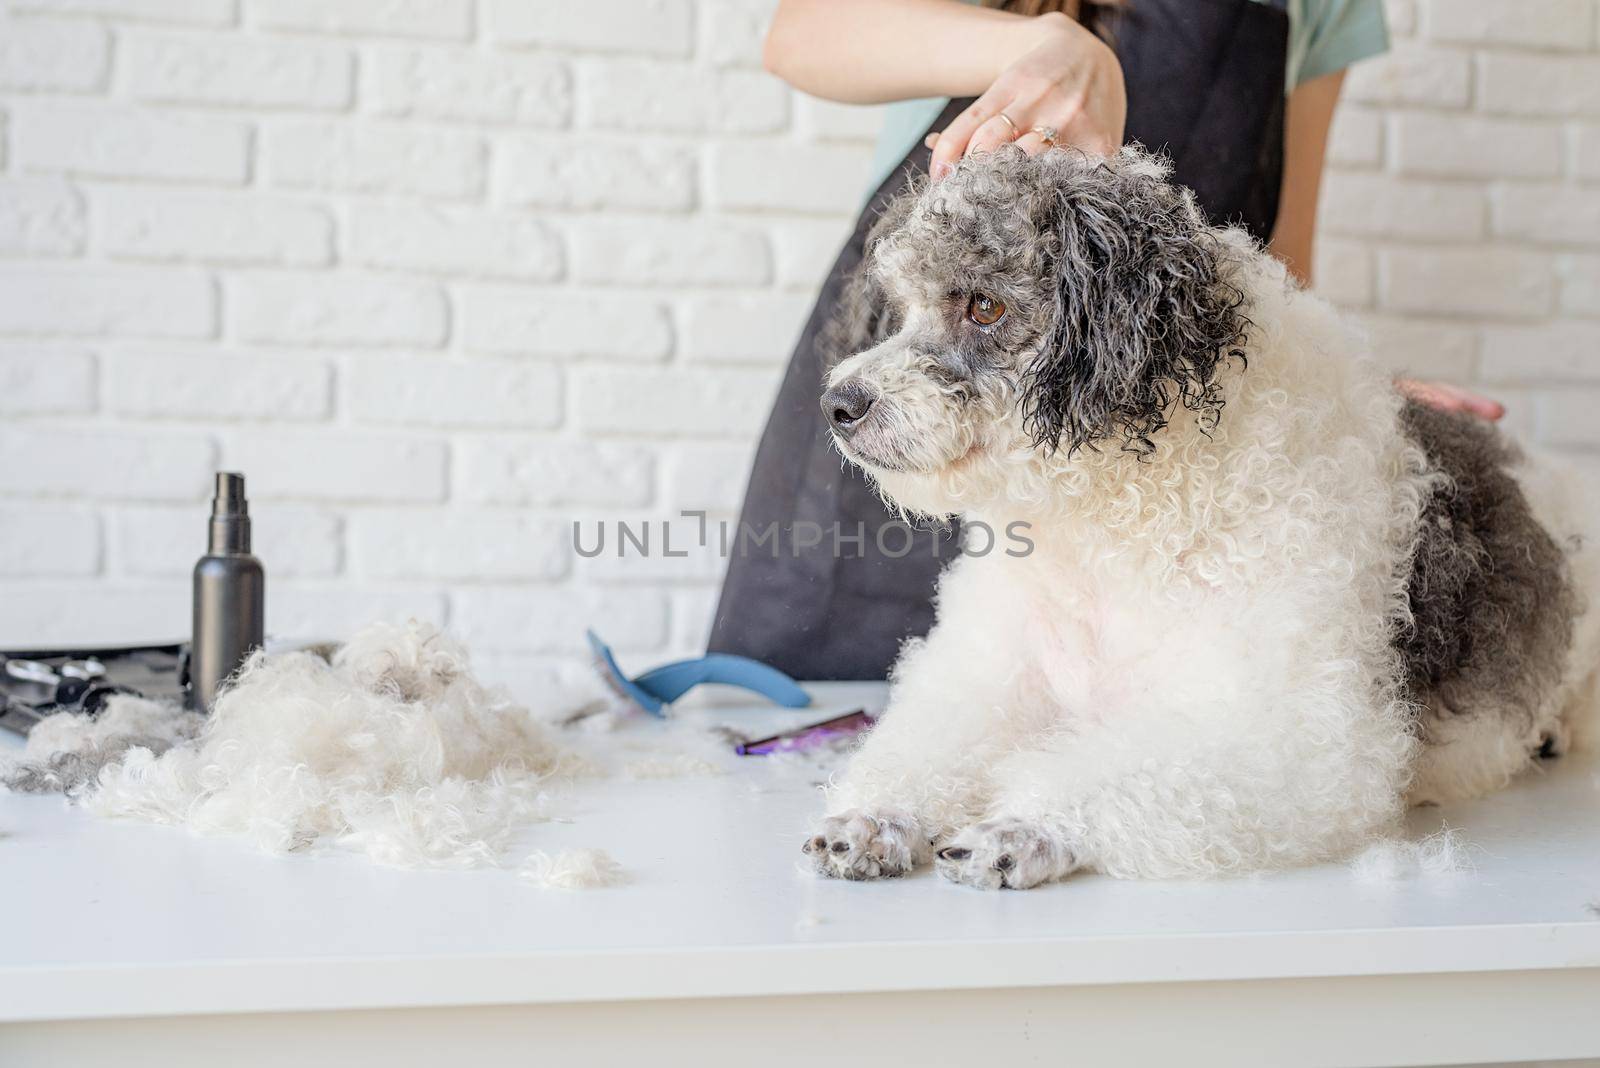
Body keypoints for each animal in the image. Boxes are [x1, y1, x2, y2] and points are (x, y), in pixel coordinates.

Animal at [806, 146, 1593, 888]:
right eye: (901, 308)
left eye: (984, 308)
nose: (839, 405)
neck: (1116, 529)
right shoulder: (987, 674)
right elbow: (929, 745)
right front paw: (874, 819)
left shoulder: (1303, 737)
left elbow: (1108, 776)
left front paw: (1021, 828)